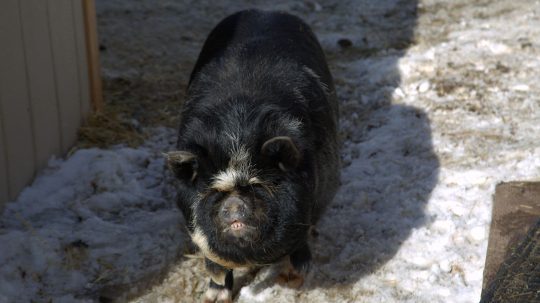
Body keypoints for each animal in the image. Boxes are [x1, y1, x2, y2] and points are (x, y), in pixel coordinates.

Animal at [167, 9, 340, 303]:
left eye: (256, 184)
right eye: (214, 190)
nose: (234, 206)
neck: (236, 135)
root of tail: (266, 11)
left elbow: (301, 245)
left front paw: (293, 281)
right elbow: (215, 264)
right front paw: (213, 298)